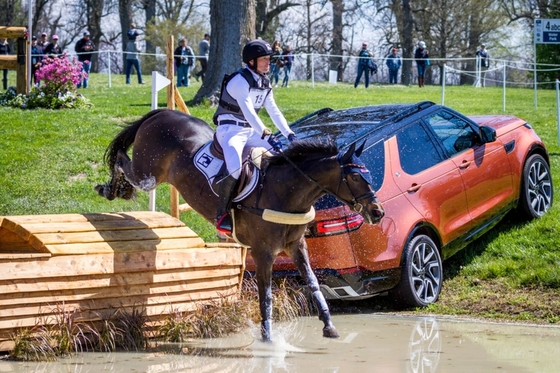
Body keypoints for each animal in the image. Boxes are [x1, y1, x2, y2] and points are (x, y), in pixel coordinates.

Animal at [96, 107, 384, 340]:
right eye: (356, 177)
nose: (377, 212)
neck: (286, 192)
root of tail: (161, 113)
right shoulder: (264, 252)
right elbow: (265, 295)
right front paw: (267, 338)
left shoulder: (296, 246)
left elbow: (312, 282)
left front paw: (329, 326)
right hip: (149, 173)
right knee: (122, 159)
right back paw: (109, 188)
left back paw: (117, 191)